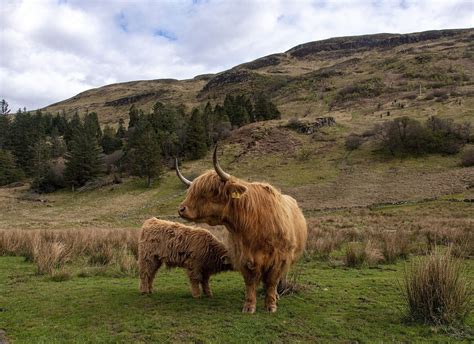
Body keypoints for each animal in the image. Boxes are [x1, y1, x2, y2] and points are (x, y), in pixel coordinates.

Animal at [175, 146, 308, 314]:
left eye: (212, 191)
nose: (181, 209)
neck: (253, 224)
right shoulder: (243, 256)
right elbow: (250, 282)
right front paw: (249, 306)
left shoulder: (279, 258)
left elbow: (272, 281)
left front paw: (270, 305)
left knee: (279, 278)